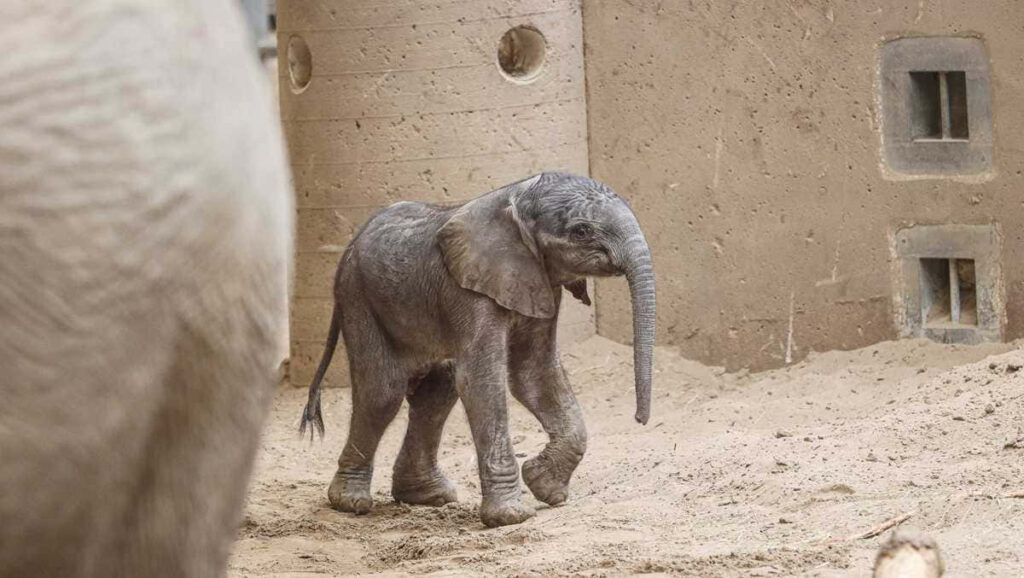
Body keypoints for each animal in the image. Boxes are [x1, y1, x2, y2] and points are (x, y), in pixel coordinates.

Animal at [300, 172, 655, 528]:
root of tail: (351, 243)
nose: (639, 419)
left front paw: (544, 486)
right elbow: (481, 382)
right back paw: (350, 502)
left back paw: (427, 496)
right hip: (358, 297)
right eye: (581, 231)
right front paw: (511, 516)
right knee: (382, 393)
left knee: (437, 389)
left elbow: (534, 375)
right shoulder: (468, 291)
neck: (518, 197)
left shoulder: (539, 283)